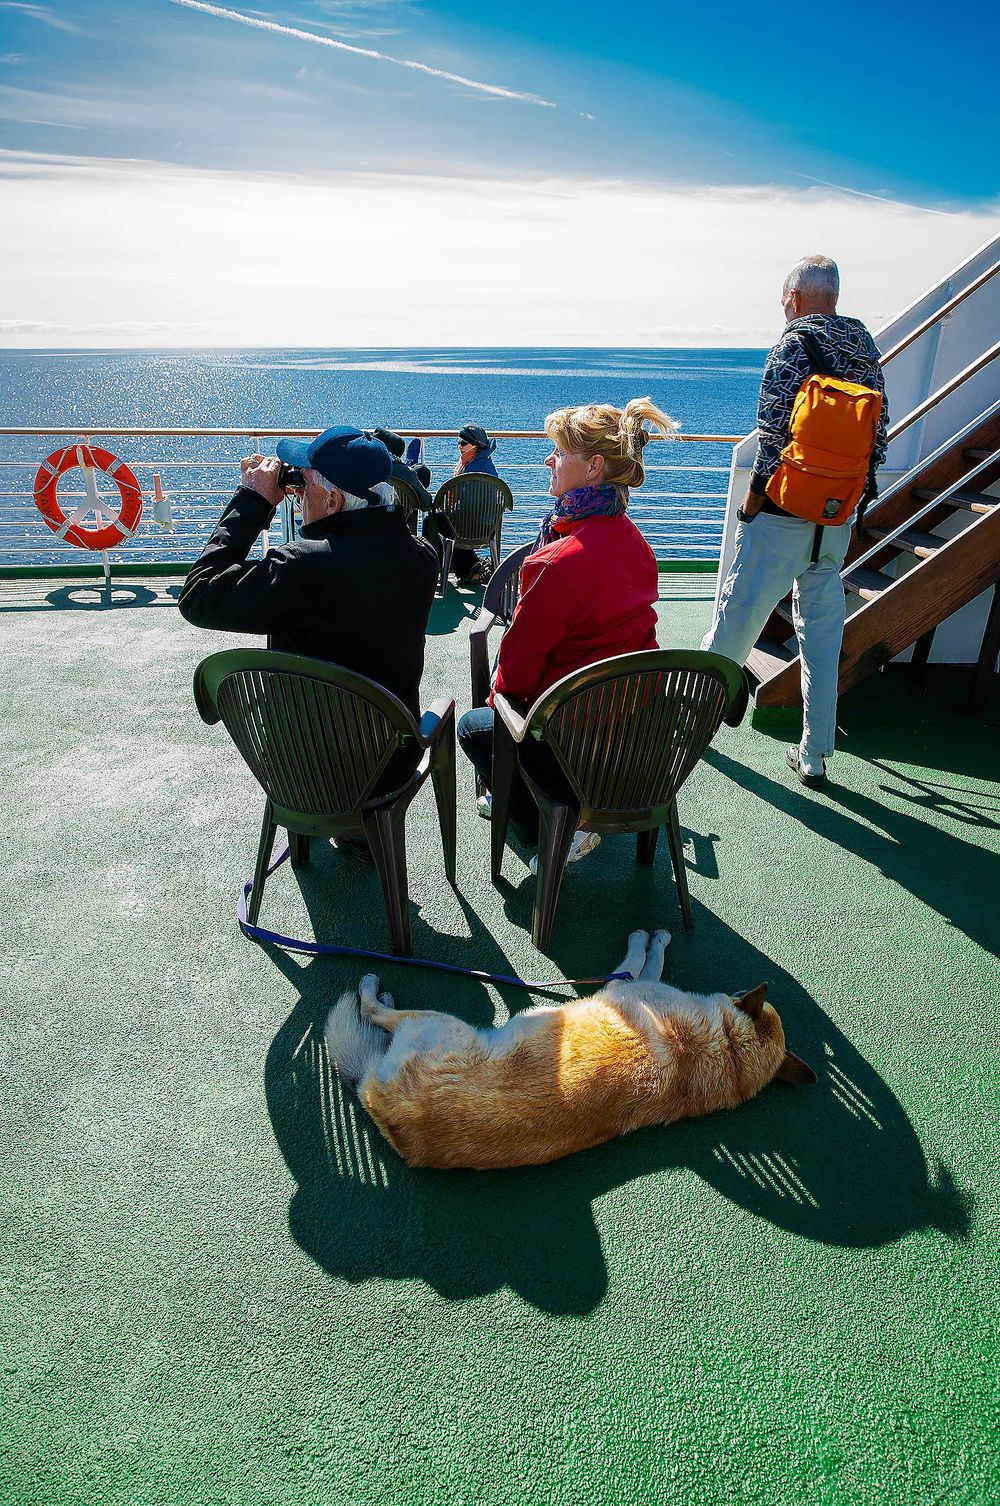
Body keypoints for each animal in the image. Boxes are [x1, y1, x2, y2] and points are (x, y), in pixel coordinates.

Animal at [323, 921, 819, 1168]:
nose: (738, 988)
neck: (727, 1050)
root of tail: (384, 1105)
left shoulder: (628, 982)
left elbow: (646, 956)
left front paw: (651, 937)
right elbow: (648, 957)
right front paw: (653, 936)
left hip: (438, 1024)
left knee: (375, 1013)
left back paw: (374, 989)